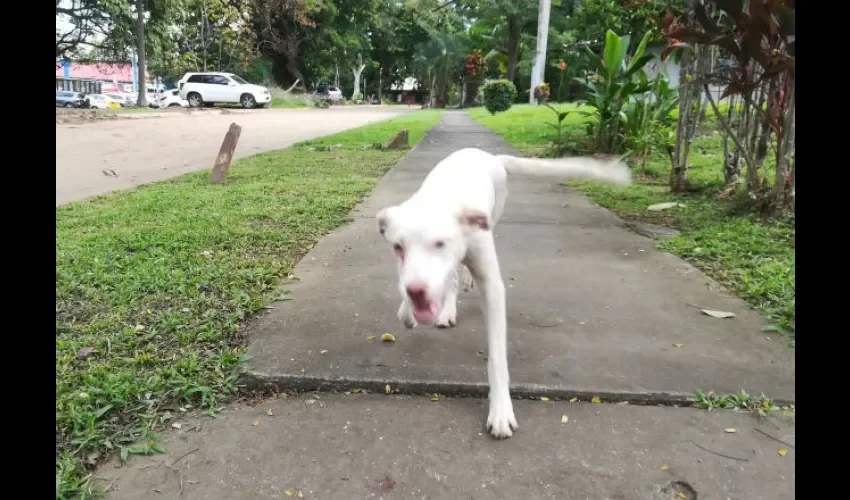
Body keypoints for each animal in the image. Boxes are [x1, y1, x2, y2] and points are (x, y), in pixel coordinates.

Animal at [374, 148, 628, 438]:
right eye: (398, 247)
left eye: (440, 243)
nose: (416, 290)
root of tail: (487, 154)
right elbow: (412, 293)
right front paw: (409, 311)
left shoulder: (492, 287)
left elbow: (496, 358)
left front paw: (501, 412)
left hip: (495, 213)